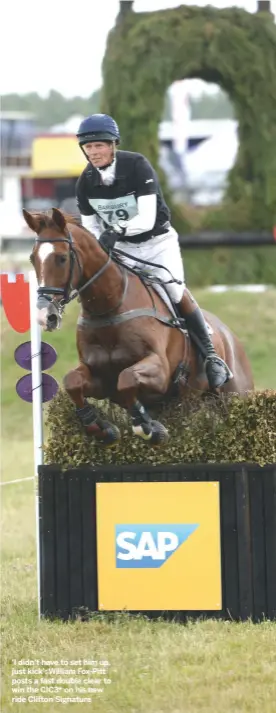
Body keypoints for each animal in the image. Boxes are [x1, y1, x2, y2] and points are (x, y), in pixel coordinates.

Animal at [23, 206, 254, 448]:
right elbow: (72, 382)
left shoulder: (160, 371)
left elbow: (127, 379)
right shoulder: (100, 379)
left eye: (61, 258)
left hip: (235, 395)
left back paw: (216, 368)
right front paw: (100, 427)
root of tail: (230, 336)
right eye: (32, 258)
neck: (110, 308)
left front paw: (148, 428)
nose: (44, 316)